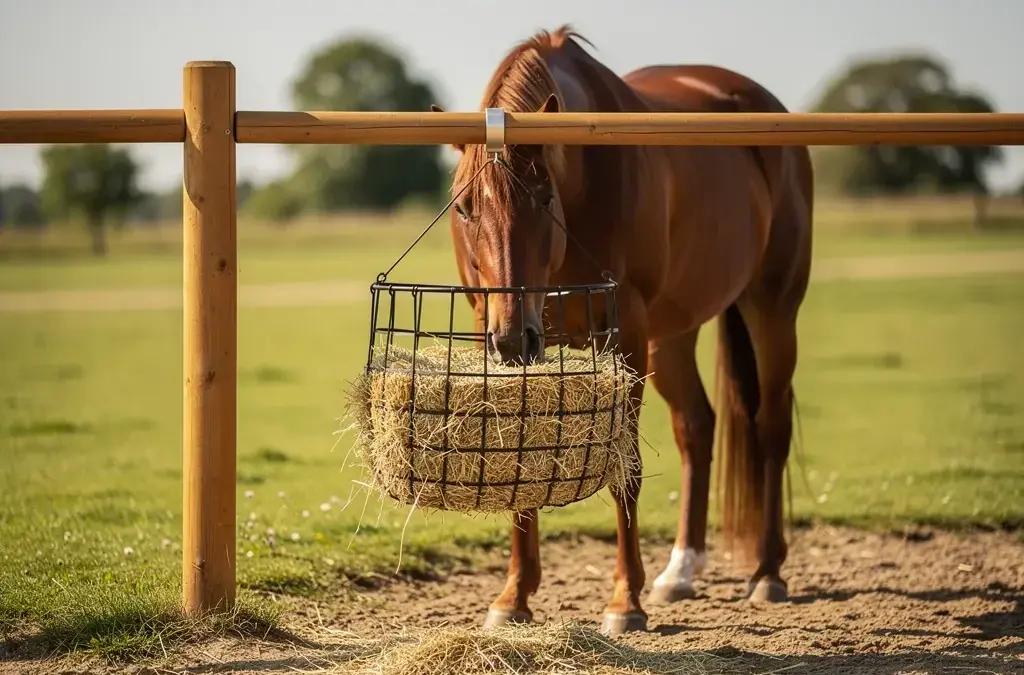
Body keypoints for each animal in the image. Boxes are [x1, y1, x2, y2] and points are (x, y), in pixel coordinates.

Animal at [429, 26, 814, 636]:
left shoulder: (626, 334)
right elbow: (520, 464)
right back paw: (680, 570)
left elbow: (625, 472)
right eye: (465, 208)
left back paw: (767, 573)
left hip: (771, 308)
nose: (512, 338)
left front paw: (623, 602)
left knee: (770, 427)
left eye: (543, 198)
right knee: (696, 427)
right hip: (672, 335)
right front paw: (513, 598)